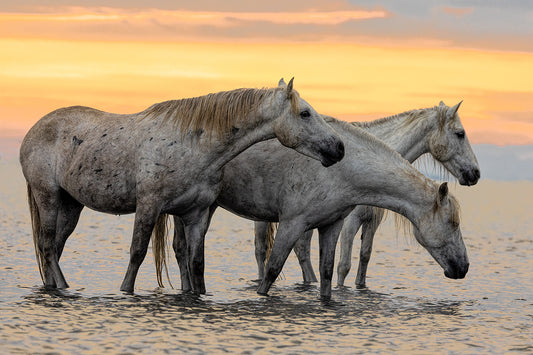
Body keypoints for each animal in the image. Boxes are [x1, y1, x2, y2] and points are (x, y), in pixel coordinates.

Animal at [20, 79, 342, 294]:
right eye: (305, 113)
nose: (338, 148)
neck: (195, 144)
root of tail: (32, 131)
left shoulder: (196, 213)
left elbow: (195, 261)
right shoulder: (149, 205)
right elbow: (137, 252)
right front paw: (125, 291)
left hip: (72, 204)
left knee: (54, 246)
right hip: (47, 196)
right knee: (47, 244)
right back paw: (62, 287)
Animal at [160, 116, 468, 300]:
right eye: (453, 222)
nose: (463, 267)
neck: (344, 168)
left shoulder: (331, 226)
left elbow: (327, 273)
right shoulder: (292, 223)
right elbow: (272, 270)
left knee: (183, 251)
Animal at [254, 100, 478, 290]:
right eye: (460, 133)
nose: (475, 174)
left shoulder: (371, 223)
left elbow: (365, 257)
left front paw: (360, 287)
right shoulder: (349, 223)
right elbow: (344, 265)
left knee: (301, 250)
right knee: (262, 250)